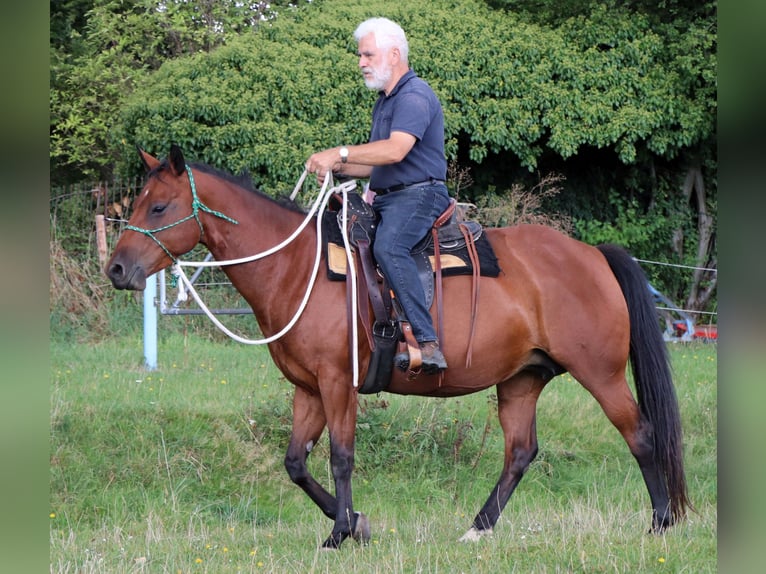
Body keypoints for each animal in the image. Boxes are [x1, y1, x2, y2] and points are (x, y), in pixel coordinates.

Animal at [106, 145, 690, 549]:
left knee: (641, 434)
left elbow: (341, 457)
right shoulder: (307, 389)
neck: (298, 267)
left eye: (159, 207)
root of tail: (592, 254)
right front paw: (355, 524)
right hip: (521, 380)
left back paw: (661, 523)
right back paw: (478, 529)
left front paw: (340, 534)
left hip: (601, 373)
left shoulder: (338, 383)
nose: (116, 269)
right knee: (520, 453)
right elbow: (296, 463)